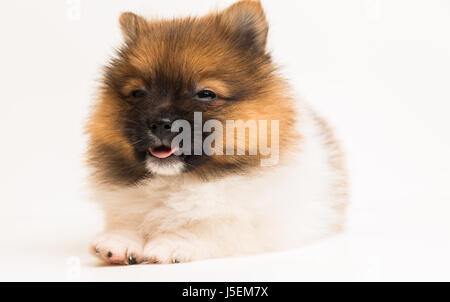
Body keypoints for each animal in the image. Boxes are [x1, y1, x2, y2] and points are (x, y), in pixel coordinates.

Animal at [87, 0, 348, 264]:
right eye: (138, 93)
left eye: (206, 94)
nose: (160, 123)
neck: (178, 181)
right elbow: (128, 218)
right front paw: (121, 239)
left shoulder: (254, 224)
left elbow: (209, 226)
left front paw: (171, 242)